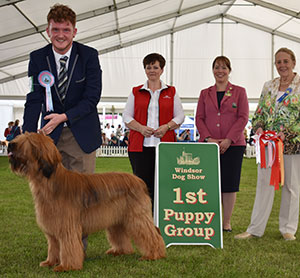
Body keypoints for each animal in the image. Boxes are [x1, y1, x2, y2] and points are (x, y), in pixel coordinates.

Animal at [7, 132, 165, 272]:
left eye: (27, 140)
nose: (10, 144)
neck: (50, 182)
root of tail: (139, 181)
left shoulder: (67, 226)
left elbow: (69, 246)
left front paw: (66, 266)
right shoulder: (53, 225)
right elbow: (53, 246)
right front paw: (51, 262)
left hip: (137, 217)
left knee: (151, 234)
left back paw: (154, 254)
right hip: (116, 219)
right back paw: (120, 251)